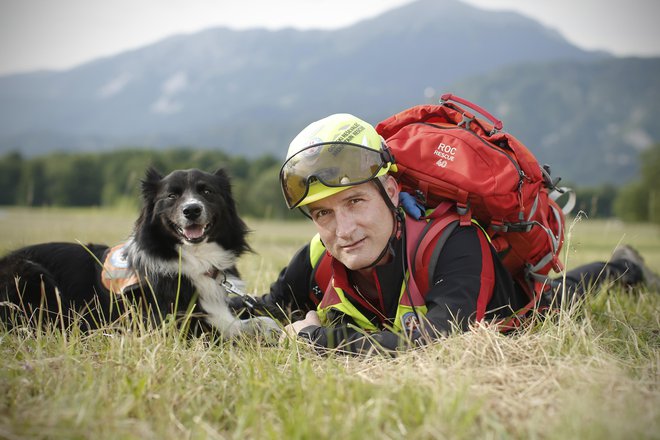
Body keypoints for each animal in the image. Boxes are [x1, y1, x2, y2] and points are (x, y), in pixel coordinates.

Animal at [0, 166, 278, 336]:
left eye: (207, 191)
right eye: (172, 196)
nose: (192, 210)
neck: (194, 259)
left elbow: (259, 320)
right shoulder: (168, 324)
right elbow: (226, 329)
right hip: (30, 273)